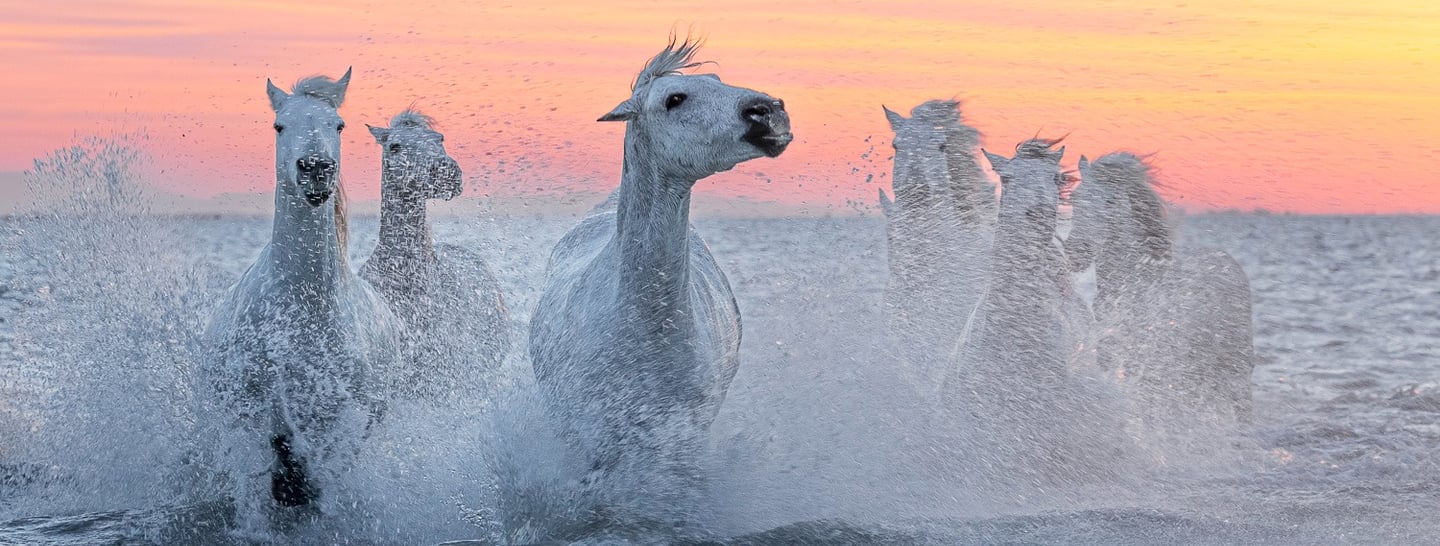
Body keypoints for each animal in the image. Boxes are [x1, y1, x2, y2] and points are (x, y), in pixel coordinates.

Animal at [199, 69, 402, 513]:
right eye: (279, 125)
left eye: (338, 125)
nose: (316, 169)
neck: (301, 309)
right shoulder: (249, 415)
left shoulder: (339, 422)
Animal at [527, 35, 791, 529]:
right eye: (674, 99)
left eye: (719, 81)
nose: (768, 111)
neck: (641, 330)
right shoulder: (590, 442)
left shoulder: (679, 440)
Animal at [1066, 152, 1255, 424]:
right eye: (1074, 198)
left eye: (1111, 201)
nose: (1075, 252)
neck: (1137, 282)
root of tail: (1229, 262)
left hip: (1235, 368)